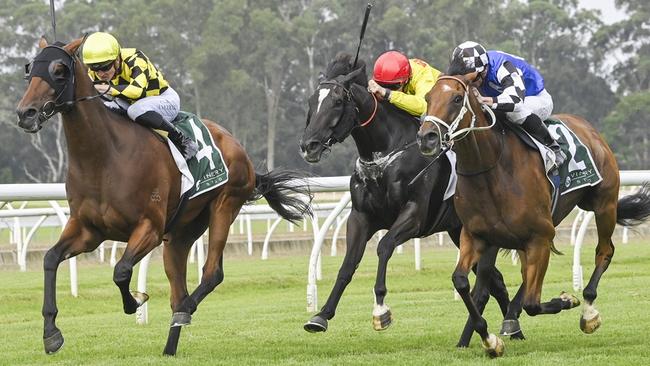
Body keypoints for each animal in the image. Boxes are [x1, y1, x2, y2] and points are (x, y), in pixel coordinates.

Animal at [13, 38, 312, 356]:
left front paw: (136, 300)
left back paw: (186, 309)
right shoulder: (88, 230)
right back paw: (171, 342)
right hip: (181, 233)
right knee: (178, 289)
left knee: (211, 274)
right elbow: (50, 258)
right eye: (31, 68)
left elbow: (120, 271)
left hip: (225, 206)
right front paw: (51, 333)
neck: (103, 157)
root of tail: (238, 147)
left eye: (59, 70)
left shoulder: (150, 228)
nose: (25, 113)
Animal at [298, 52, 516, 346]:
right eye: (311, 101)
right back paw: (510, 330)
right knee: (497, 282)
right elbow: (348, 264)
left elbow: (385, 246)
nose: (308, 146)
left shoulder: (414, 215)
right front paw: (321, 315)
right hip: (458, 232)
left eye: (337, 102)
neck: (385, 153)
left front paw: (381, 309)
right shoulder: (360, 217)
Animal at [416, 74, 648, 358]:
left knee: (604, 251)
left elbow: (532, 304)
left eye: (457, 98)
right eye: (428, 97)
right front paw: (490, 340)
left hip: (604, 205)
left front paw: (567, 299)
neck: (491, 170)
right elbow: (462, 282)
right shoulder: (476, 235)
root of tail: (589, 128)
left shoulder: (539, 237)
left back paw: (588, 311)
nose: (426, 137)